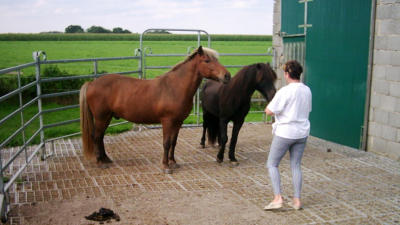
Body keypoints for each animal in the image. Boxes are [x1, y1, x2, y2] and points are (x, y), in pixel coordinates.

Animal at [80, 45, 231, 172]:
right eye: (207, 60)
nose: (227, 76)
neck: (174, 87)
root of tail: (92, 83)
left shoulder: (178, 122)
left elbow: (173, 142)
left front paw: (173, 162)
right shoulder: (167, 122)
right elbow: (166, 143)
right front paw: (165, 166)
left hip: (107, 117)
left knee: (100, 137)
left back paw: (106, 159)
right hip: (101, 117)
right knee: (96, 136)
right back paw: (100, 162)